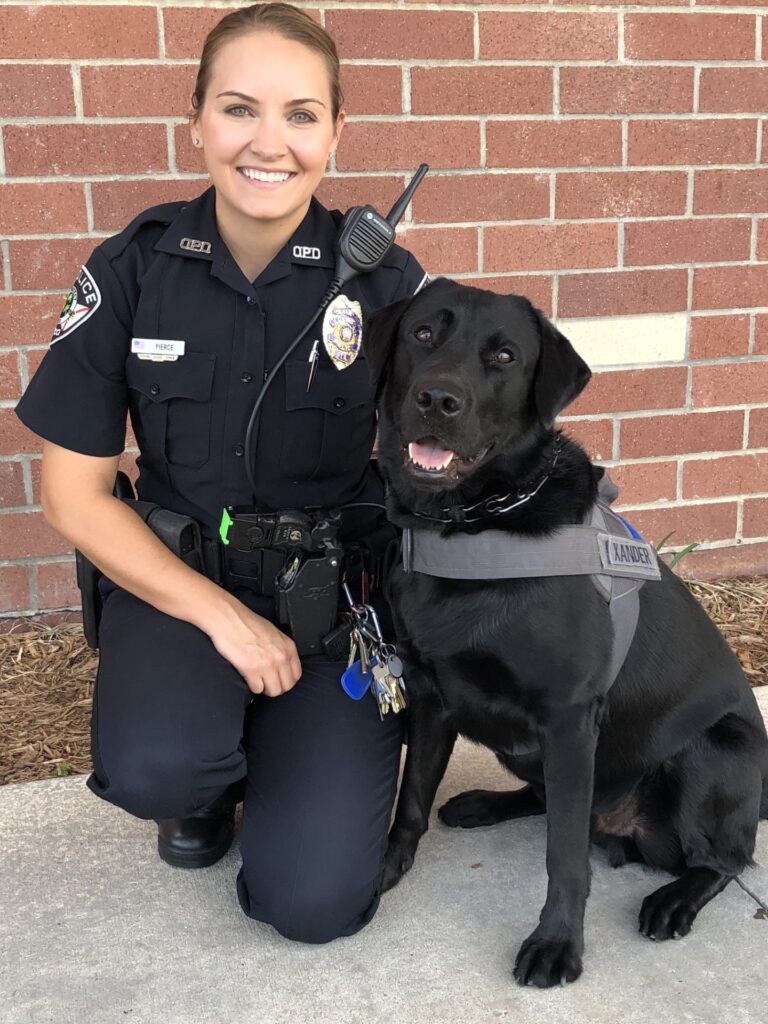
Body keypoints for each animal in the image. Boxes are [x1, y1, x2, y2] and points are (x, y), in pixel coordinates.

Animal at [366, 276, 768, 987]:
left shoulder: (569, 717)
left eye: (504, 357)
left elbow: (564, 856)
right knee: (554, 803)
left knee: (720, 861)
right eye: (422, 334)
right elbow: (410, 799)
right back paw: (484, 804)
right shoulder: (432, 694)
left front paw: (557, 943)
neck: (475, 525)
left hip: (717, 751)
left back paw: (674, 898)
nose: (438, 399)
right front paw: (386, 869)